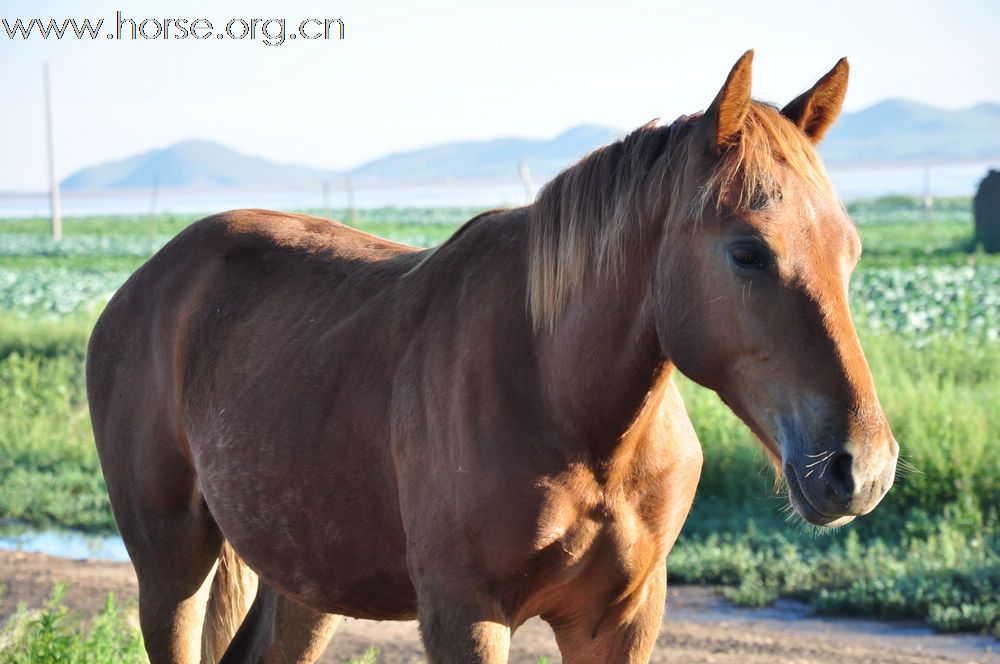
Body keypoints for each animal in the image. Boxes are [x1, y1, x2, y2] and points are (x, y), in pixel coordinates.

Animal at [86, 53, 900, 664]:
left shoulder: (620, 622)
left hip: (304, 583)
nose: (860, 467)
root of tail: (148, 283)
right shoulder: (466, 616)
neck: (564, 403)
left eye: (851, 249)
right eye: (748, 251)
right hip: (171, 565)